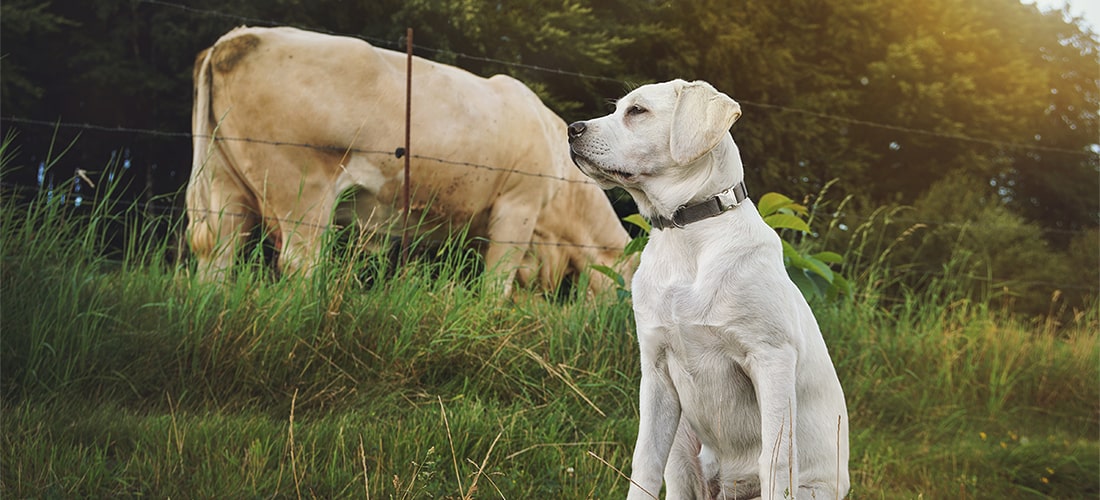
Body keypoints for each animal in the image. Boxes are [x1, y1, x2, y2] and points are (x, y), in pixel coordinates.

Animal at [185, 26, 633, 294]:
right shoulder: (518, 207)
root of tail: (237, 38)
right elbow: (497, 284)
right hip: (301, 189)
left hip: (225, 187)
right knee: (300, 263)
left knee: (216, 255)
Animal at [572, 80, 844, 498]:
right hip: (683, 448)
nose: (572, 129)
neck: (687, 234)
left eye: (637, 111)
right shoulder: (656, 369)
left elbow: (775, 459)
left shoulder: (772, 358)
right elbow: (644, 461)